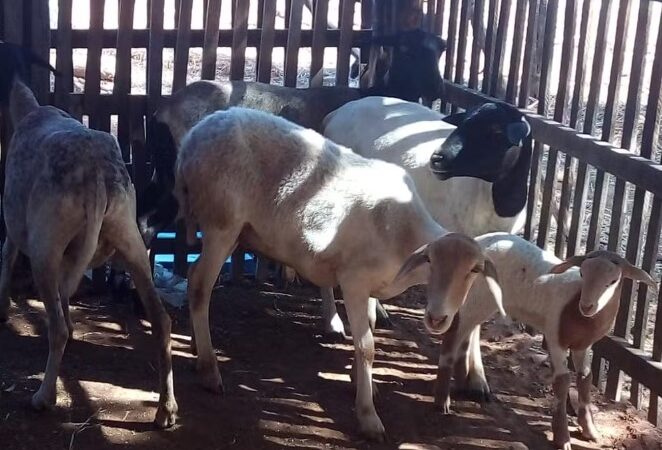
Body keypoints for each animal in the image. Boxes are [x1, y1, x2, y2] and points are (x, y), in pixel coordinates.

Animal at [0, 42, 177, 427]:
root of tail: (96, 174)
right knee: (161, 321)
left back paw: (44, 397)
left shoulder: (14, 221)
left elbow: (6, 256)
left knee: (57, 329)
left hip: (46, 247)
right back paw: (166, 409)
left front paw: (3, 309)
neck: (26, 109)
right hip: (131, 239)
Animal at [173, 107, 504, 440]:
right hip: (221, 222)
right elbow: (367, 346)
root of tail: (194, 137)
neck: (403, 232)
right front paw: (368, 415)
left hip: (234, 229)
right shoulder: (354, 281)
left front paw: (360, 381)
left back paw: (196, 347)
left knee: (193, 274)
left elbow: (369, 328)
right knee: (200, 285)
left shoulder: (371, 285)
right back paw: (209, 369)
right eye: (431, 261)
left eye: (474, 270)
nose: (438, 319)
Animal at [321, 97, 531, 341]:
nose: (437, 158)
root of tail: (338, 112)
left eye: (495, 132)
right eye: (463, 123)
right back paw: (335, 323)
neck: (498, 203)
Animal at [428, 233, 658, 450]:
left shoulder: (583, 345)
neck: (576, 309)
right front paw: (562, 438)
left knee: (468, 333)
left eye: (613, 282)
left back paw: (465, 383)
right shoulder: (555, 338)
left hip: (481, 302)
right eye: (582, 274)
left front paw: (590, 431)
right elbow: (562, 381)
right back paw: (442, 402)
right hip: (475, 298)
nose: (587, 306)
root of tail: (476, 242)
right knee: (453, 336)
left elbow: (585, 377)